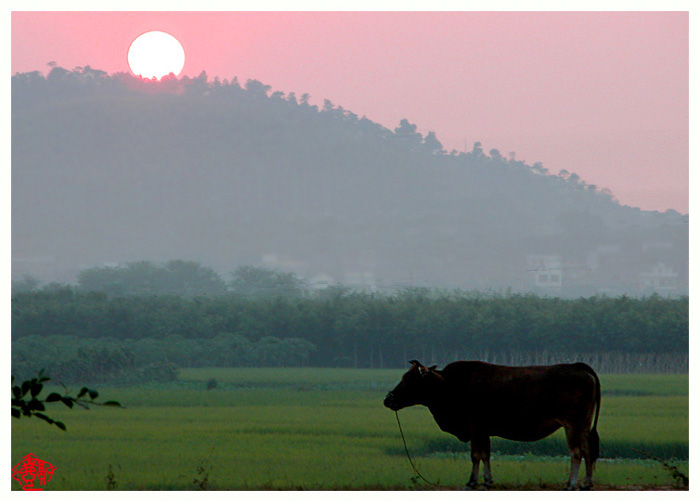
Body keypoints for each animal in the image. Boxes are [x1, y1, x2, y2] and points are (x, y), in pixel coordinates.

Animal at [382, 360, 600, 490]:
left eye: (408, 379)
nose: (388, 399)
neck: (448, 387)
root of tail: (579, 366)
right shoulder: (483, 431)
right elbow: (486, 455)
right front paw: (487, 481)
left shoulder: (474, 428)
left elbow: (475, 455)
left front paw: (472, 482)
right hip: (585, 424)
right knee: (588, 451)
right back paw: (587, 483)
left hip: (572, 423)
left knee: (576, 452)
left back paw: (571, 483)